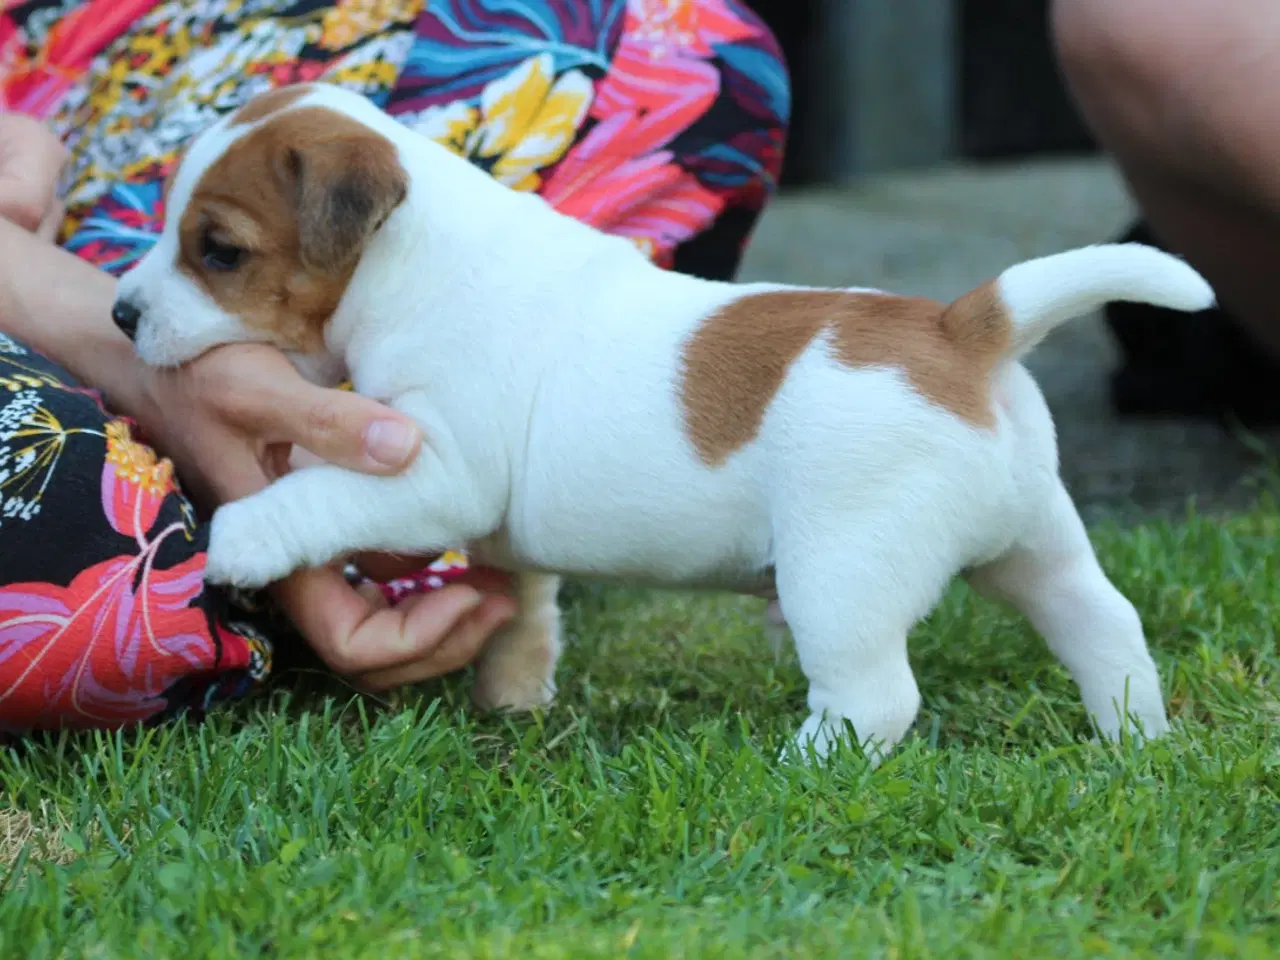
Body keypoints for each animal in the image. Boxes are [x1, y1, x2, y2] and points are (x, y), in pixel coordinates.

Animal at [110, 80, 1208, 757]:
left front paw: (246, 537)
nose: (118, 314)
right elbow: (524, 605)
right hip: (1033, 542)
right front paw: (514, 697)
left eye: (218, 251)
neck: (411, 259)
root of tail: (959, 328)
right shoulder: (496, 530)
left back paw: (803, 767)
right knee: (1103, 623)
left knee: (876, 698)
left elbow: (321, 491)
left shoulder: (434, 475)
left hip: (840, 575)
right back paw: (1134, 738)